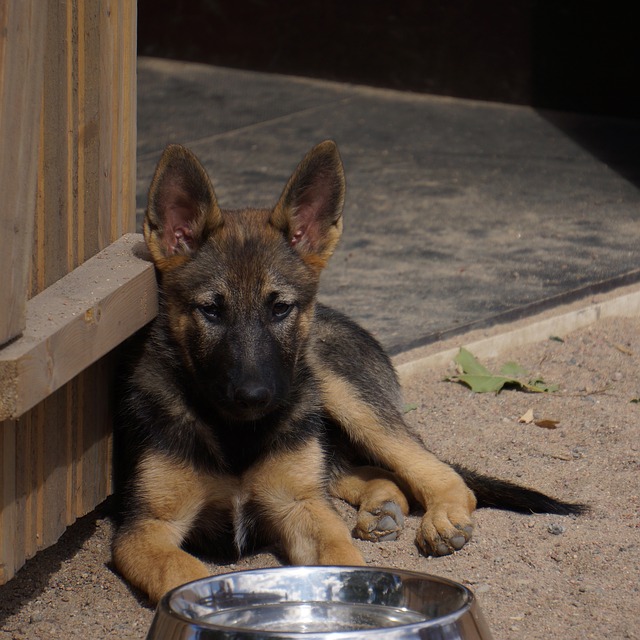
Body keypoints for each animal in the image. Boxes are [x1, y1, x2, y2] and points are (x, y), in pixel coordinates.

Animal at [114, 141, 584, 604]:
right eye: (210, 310)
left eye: (280, 308)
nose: (254, 397)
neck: (236, 435)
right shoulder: (145, 530)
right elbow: (182, 573)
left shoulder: (300, 506)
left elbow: (340, 557)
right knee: (368, 473)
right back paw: (383, 506)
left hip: (341, 395)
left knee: (434, 472)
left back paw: (440, 517)